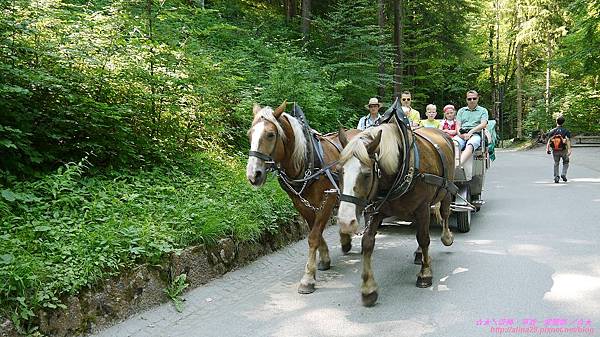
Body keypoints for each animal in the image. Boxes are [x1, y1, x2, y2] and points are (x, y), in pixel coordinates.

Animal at [245, 100, 358, 294]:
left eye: (270, 134)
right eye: (249, 135)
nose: (253, 175)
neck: (307, 162)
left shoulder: (328, 200)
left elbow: (313, 236)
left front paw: (308, 279)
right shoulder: (300, 203)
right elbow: (315, 231)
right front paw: (324, 259)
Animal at [338, 122, 454, 306]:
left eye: (367, 174)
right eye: (338, 171)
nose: (345, 221)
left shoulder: (422, 207)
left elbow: (424, 238)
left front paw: (425, 273)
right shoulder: (376, 209)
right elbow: (367, 242)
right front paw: (368, 288)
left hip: (446, 189)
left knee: (445, 212)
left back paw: (446, 237)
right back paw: (420, 253)